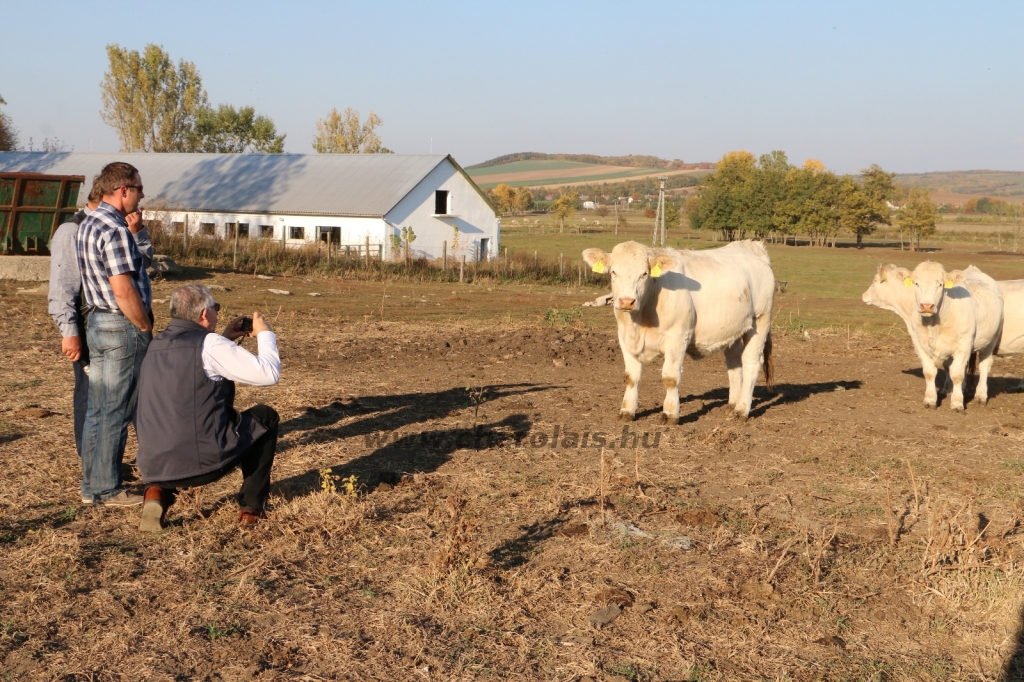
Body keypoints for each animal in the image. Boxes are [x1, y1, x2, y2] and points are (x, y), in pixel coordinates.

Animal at [581, 237, 770, 419]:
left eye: (644, 274)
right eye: (614, 272)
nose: (627, 301)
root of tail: (749, 246)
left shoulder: (678, 337)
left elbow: (670, 377)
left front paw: (670, 413)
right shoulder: (624, 338)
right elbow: (631, 377)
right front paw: (627, 411)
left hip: (760, 320)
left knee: (751, 363)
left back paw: (742, 410)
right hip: (734, 329)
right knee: (734, 363)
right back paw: (732, 405)